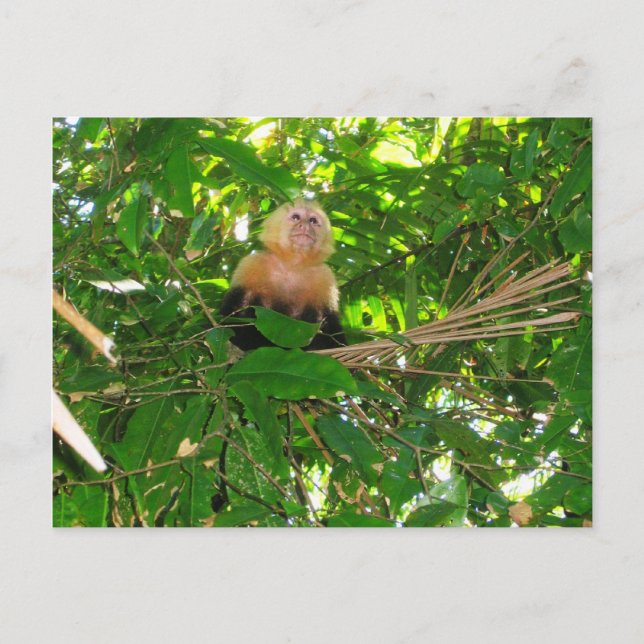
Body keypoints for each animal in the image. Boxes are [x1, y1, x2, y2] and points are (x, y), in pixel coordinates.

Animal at [219, 199, 346, 351]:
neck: (292, 265)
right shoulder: (252, 264)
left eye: (313, 220)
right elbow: (232, 315)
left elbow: (329, 322)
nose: (305, 226)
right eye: (296, 217)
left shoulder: (325, 277)